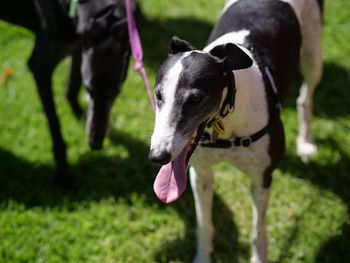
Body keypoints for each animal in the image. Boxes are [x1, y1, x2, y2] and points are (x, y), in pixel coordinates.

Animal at [0, 1, 139, 189]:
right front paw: (63, 174)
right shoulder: (40, 68)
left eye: (116, 92)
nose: (95, 144)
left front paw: (80, 115)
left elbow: (71, 89)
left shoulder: (78, 45)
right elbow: (56, 129)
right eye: (88, 89)